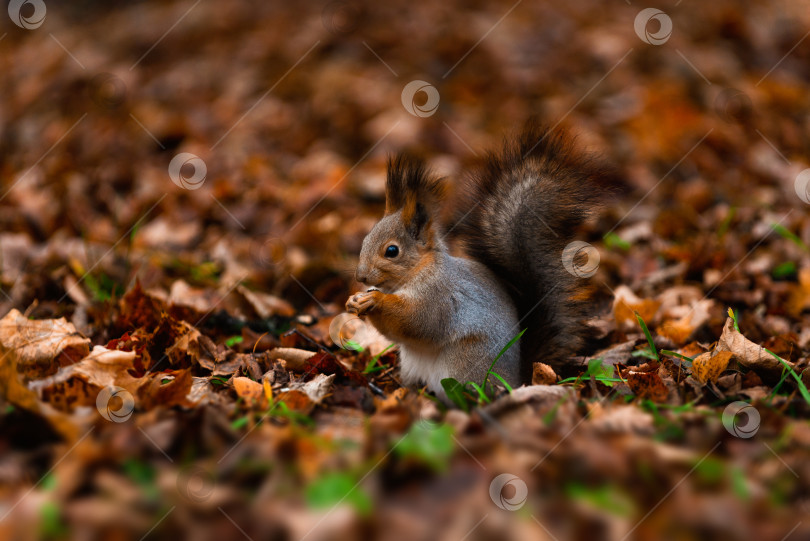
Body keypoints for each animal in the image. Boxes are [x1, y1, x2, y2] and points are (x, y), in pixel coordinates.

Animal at [344, 120, 616, 394]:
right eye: (365, 239)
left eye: (392, 251)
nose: (361, 276)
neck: (415, 273)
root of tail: (518, 379)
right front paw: (353, 301)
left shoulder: (439, 297)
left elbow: (418, 322)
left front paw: (375, 300)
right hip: (411, 364)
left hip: (466, 360)